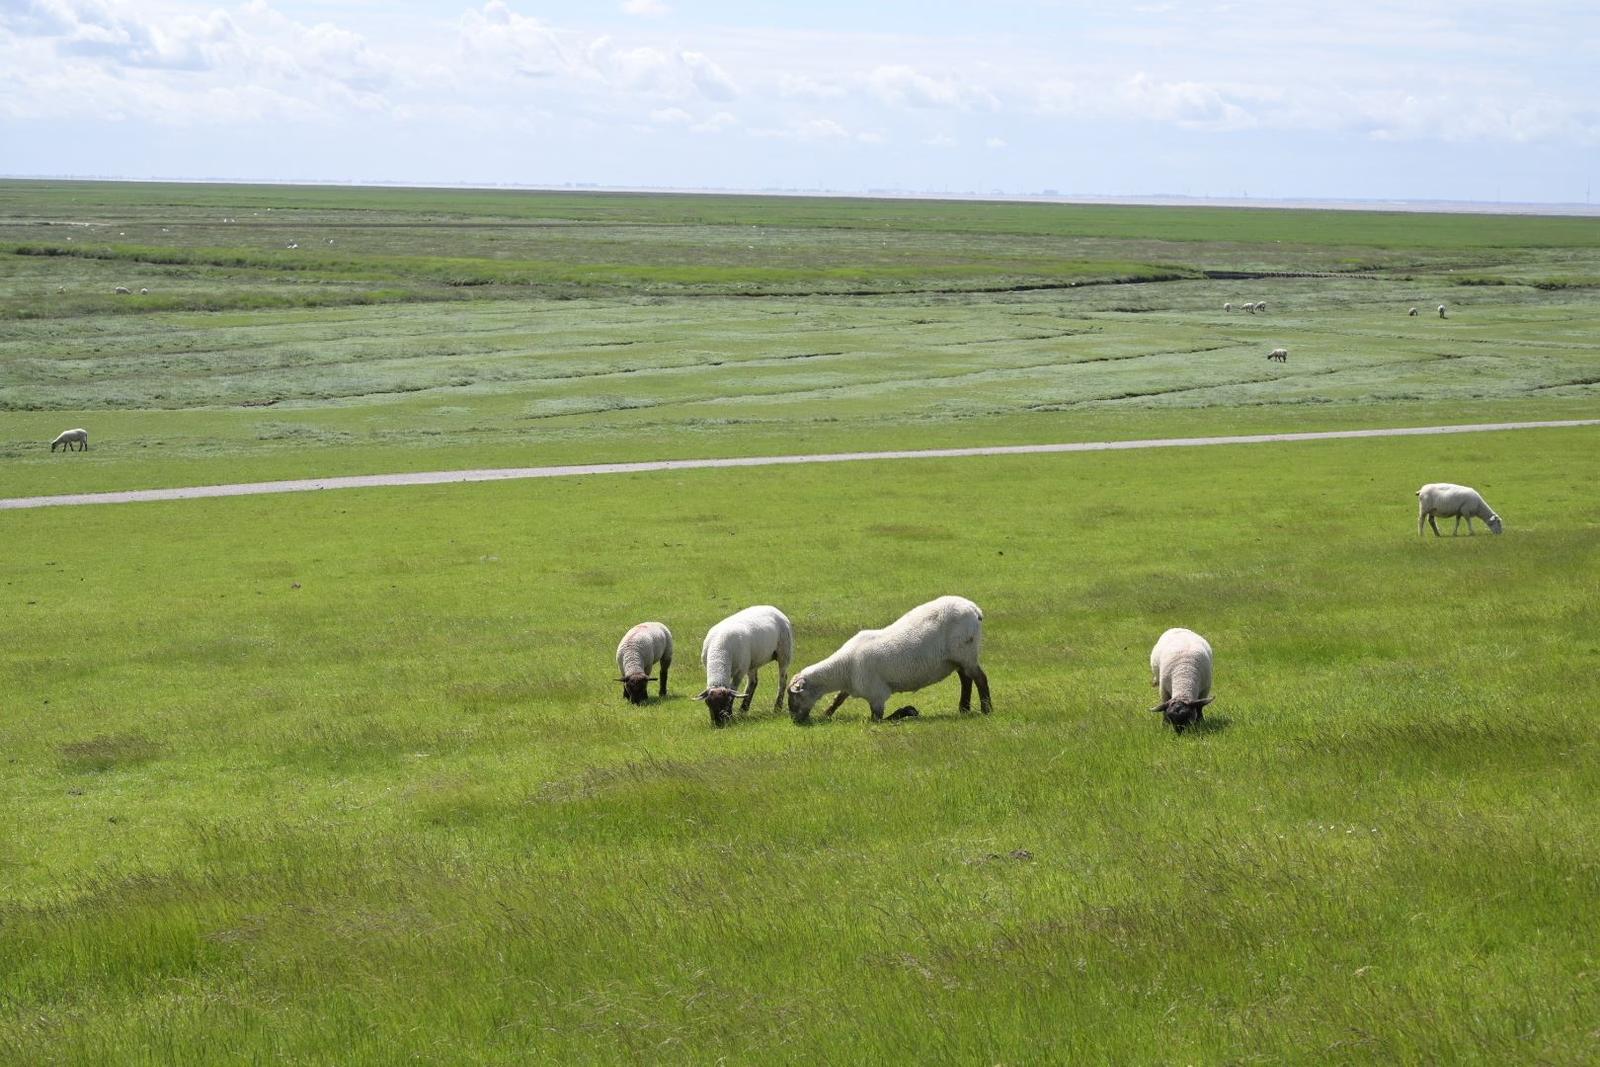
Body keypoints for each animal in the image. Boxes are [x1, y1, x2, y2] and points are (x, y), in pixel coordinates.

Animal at [786, 595, 990, 724]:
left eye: (794, 696)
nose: (794, 721)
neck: (843, 669)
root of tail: (974, 609)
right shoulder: (852, 686)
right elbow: (838, 699)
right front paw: (826, 714)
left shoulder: (877, 695)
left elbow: (878, 719)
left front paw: (908, 711)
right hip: (958, 658)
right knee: (966, 679)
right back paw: (964, 709)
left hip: (965, 652)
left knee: (980, 678)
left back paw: (986, 710)